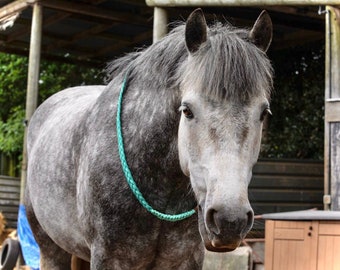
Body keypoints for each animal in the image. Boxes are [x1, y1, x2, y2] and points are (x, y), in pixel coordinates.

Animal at [24, 8, 274, 270]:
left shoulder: (187, 259)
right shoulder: (107, 258)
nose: (230, 220)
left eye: (263, 113)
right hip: (50, 248)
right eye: (187, 110)